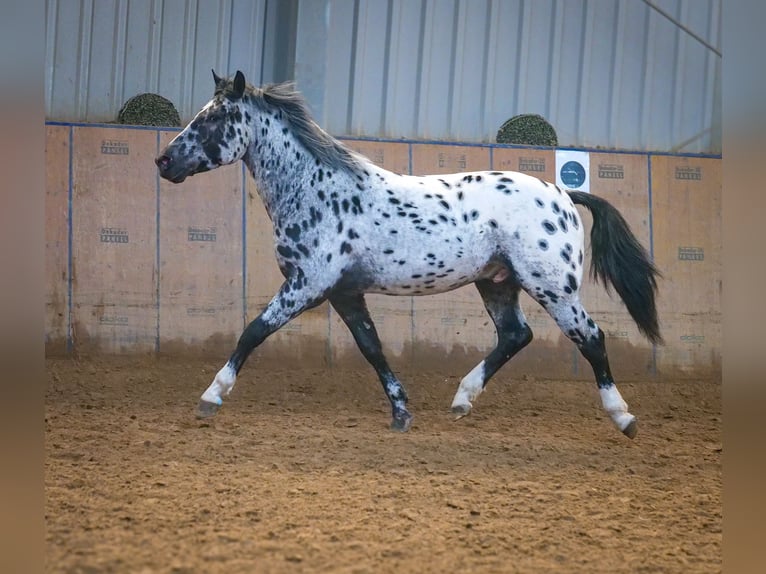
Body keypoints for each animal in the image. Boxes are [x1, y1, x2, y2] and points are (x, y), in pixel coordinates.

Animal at [154, 71, 660, 440]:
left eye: (213, 119)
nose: (163, 161)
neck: (317, 191)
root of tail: (564, 193)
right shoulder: (343, 293)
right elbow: (372, 348)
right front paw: (401, 413)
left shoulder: (307, 285)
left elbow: (253, 332)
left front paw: (211, 397)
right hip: (497, 282)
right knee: (516, 336)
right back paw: (461, 401)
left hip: (552, 287)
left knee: (590, 337)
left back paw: (624, 418)